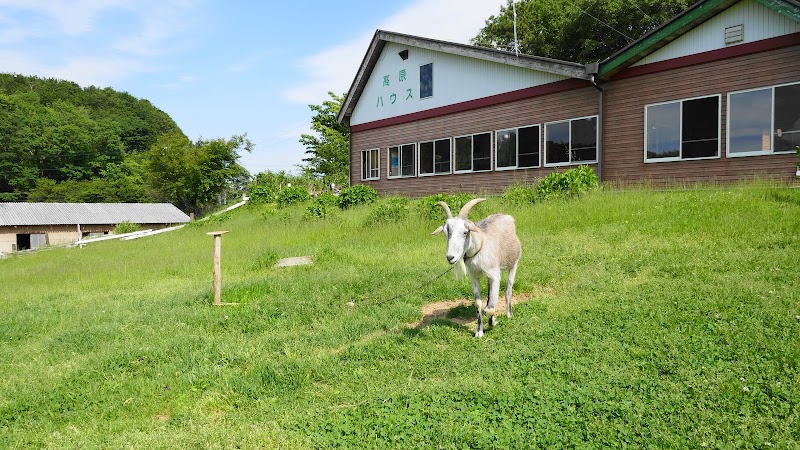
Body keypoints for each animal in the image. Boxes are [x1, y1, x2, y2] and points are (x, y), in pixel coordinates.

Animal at [432, 198, 524, 338]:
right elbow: (478, 304)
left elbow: (491, 308)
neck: (480, 248)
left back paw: (509, 314)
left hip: (514, 264)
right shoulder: (474, 277)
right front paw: (479, 331)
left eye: (465, 232)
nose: (450, 257)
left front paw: (492, 323)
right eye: (446, 233)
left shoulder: (495, 275)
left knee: (508, 289)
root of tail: (505, 216)